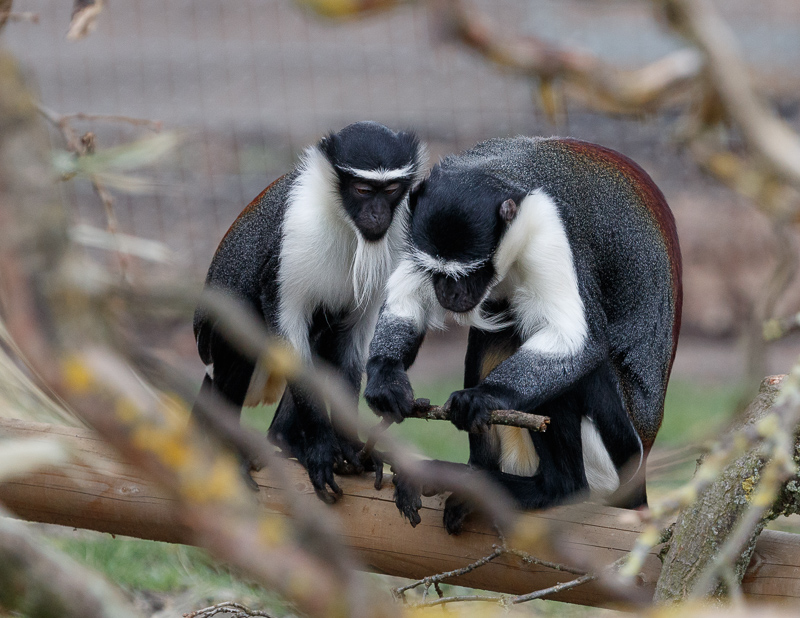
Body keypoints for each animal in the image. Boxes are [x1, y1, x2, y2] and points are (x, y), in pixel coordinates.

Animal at [192, 121, 427, 501]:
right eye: (363, 189)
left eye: (391, 189)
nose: (378, 215)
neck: (344, 222)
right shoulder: (291, 251)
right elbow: (289, 337)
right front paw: (320, 450)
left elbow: (348, 349)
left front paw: (349, 446)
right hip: (213, 339)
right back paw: (231, 450)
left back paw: (286, 441)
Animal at [363, 136, 682, 533]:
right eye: (437, 272)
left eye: (470, 272)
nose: (450, 294)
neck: (497, 171)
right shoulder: (416, 228)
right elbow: (409, 298)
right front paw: (385, 379)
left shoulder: (552, 225)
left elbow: (577, 341)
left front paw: (483, 398)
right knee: (496, 329)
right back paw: (474, 475)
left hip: (618, 453)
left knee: (574, 375)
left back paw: (556, 488)